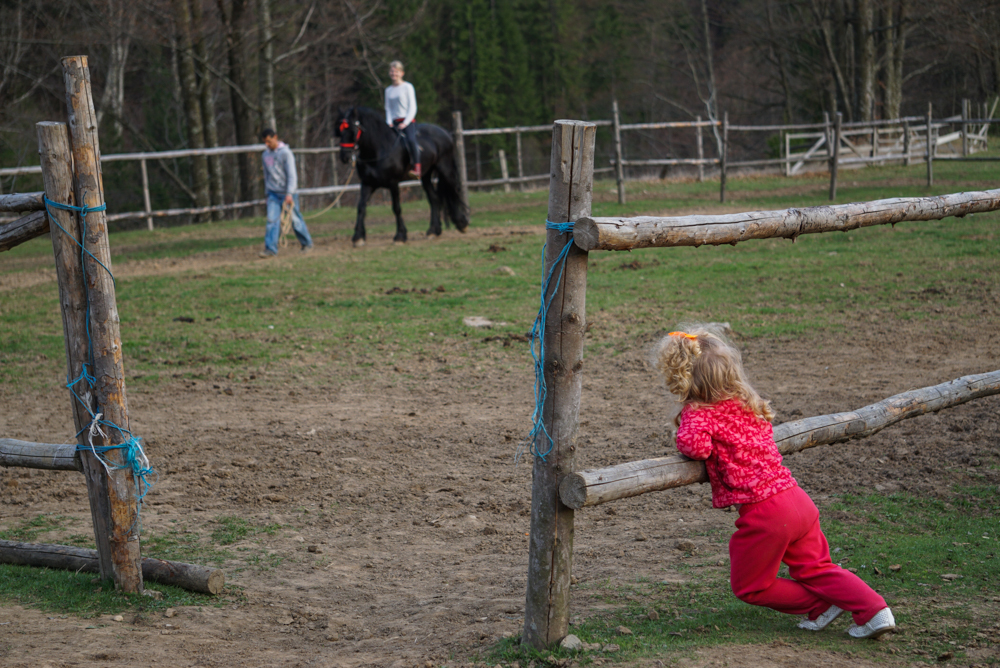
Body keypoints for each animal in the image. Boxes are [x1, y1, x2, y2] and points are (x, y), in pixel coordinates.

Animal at [332, 107, 464, 245]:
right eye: (339, 132)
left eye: (353, 131)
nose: (345, 157)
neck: (379, 151)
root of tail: (445, 132)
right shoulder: (367, 183)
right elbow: (361, 207)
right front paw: (358, 236)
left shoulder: (393, 183)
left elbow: (396, 207)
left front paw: (400, 235)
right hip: (425, 175)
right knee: (434, 198)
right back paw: (434, 230)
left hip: (445, 169)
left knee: (454, 191)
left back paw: (461, 223)